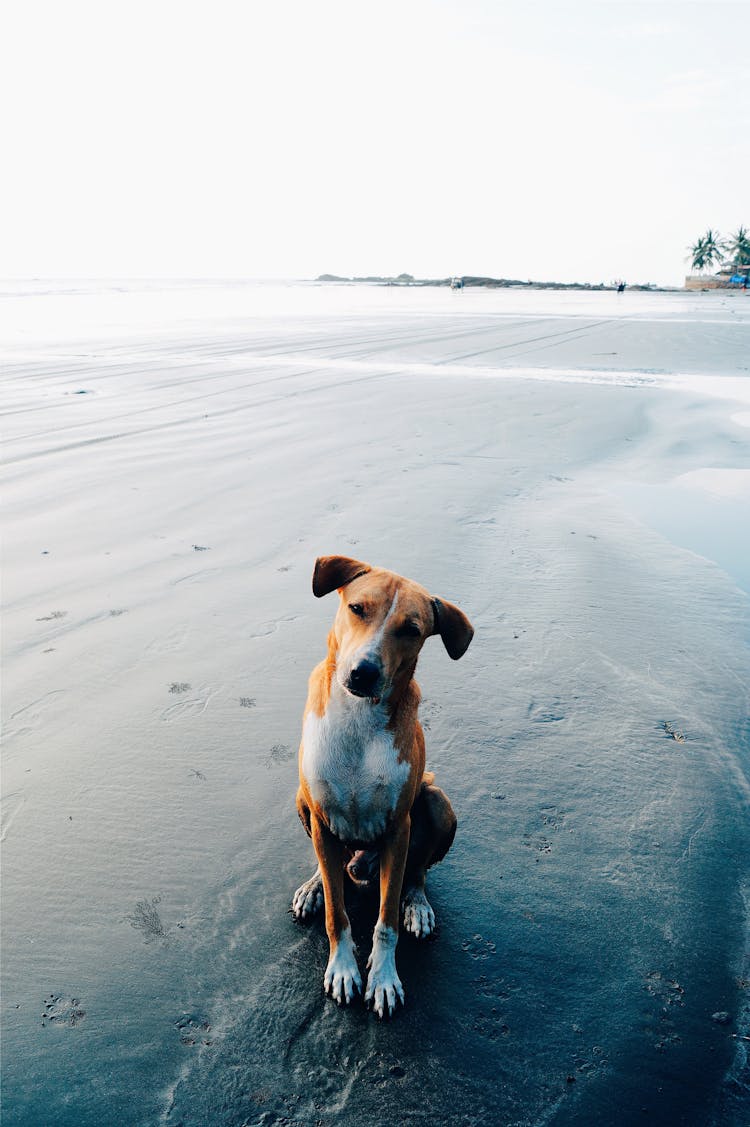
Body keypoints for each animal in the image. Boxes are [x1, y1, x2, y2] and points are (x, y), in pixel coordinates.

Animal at [288, 558, 471, 1018]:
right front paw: (342, 968)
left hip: (437, 802)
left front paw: (384, 977)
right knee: (331, 864)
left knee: (417, 871)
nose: (364, 672)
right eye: (357, 608)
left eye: (411, 629)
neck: (358, 718)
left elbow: (385, 920)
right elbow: (338, 914)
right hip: (303, 804)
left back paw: (417, 904)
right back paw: (314, 885)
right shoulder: (320, 815)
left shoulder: (397, 828)